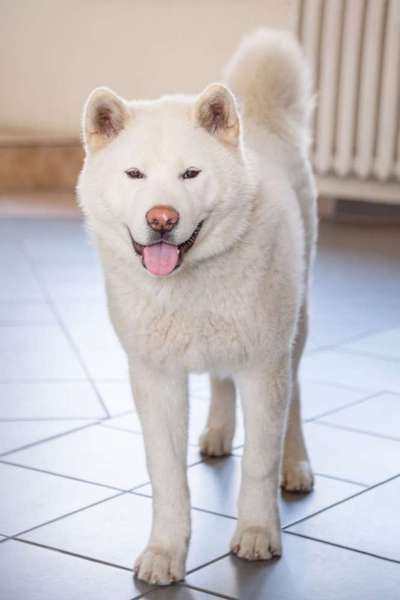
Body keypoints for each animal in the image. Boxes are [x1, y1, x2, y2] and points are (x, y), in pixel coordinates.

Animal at [77, 29, 316, 584]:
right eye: (134, 174)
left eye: (191, 174)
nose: (161, 218)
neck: (189, 287)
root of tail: (261, 113)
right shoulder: (157, 378)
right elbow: (166, 476)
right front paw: (165, 552)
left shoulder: (263, 368)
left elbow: (259, 463)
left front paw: (258, 534)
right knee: (220, 382)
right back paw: (218, 434)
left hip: (295, 329)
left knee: (294, 395)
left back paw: (296, 465)